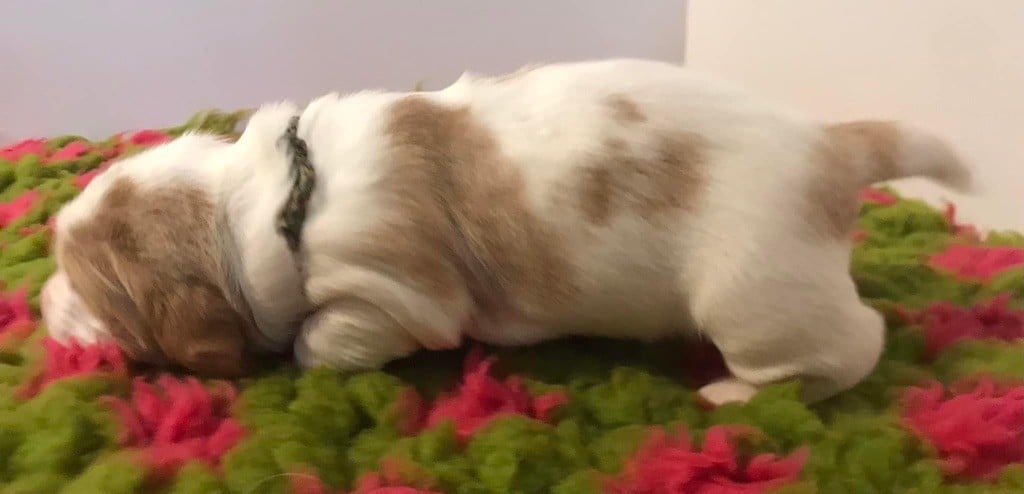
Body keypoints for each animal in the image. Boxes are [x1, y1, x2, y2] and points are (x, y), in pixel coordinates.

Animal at [43, 59, 971, 404]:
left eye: (89, 288)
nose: (41, 302)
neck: (274, 200)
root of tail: (834, 145)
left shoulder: (391, 296)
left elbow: (325, 338)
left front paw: (300, 351)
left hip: (756, 296)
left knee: (852, 348)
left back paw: (739, 396)